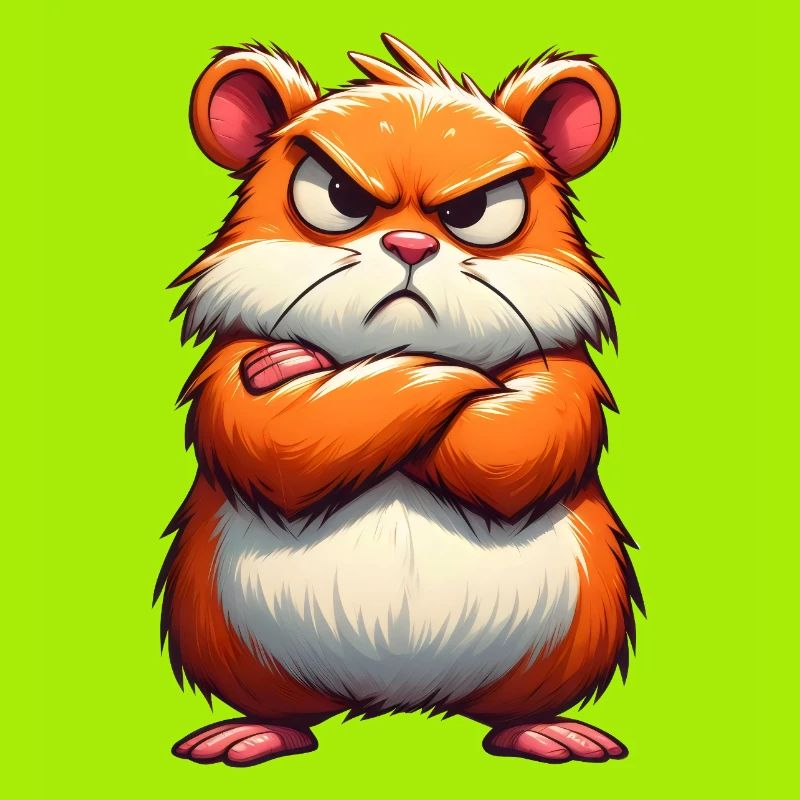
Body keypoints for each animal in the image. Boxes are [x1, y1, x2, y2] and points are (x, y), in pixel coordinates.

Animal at [155, 34, 643, 767]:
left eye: (473, 212)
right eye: (339, 195)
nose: (410, 244)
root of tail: (400, 698)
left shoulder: (563, 379)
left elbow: (515, 445)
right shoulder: (228, 370)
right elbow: (278, 446)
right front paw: (297, 366)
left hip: (578, 629)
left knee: (514, 708)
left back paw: (543, 730)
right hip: (220, 632)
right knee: (282, 708)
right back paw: (254, 732)